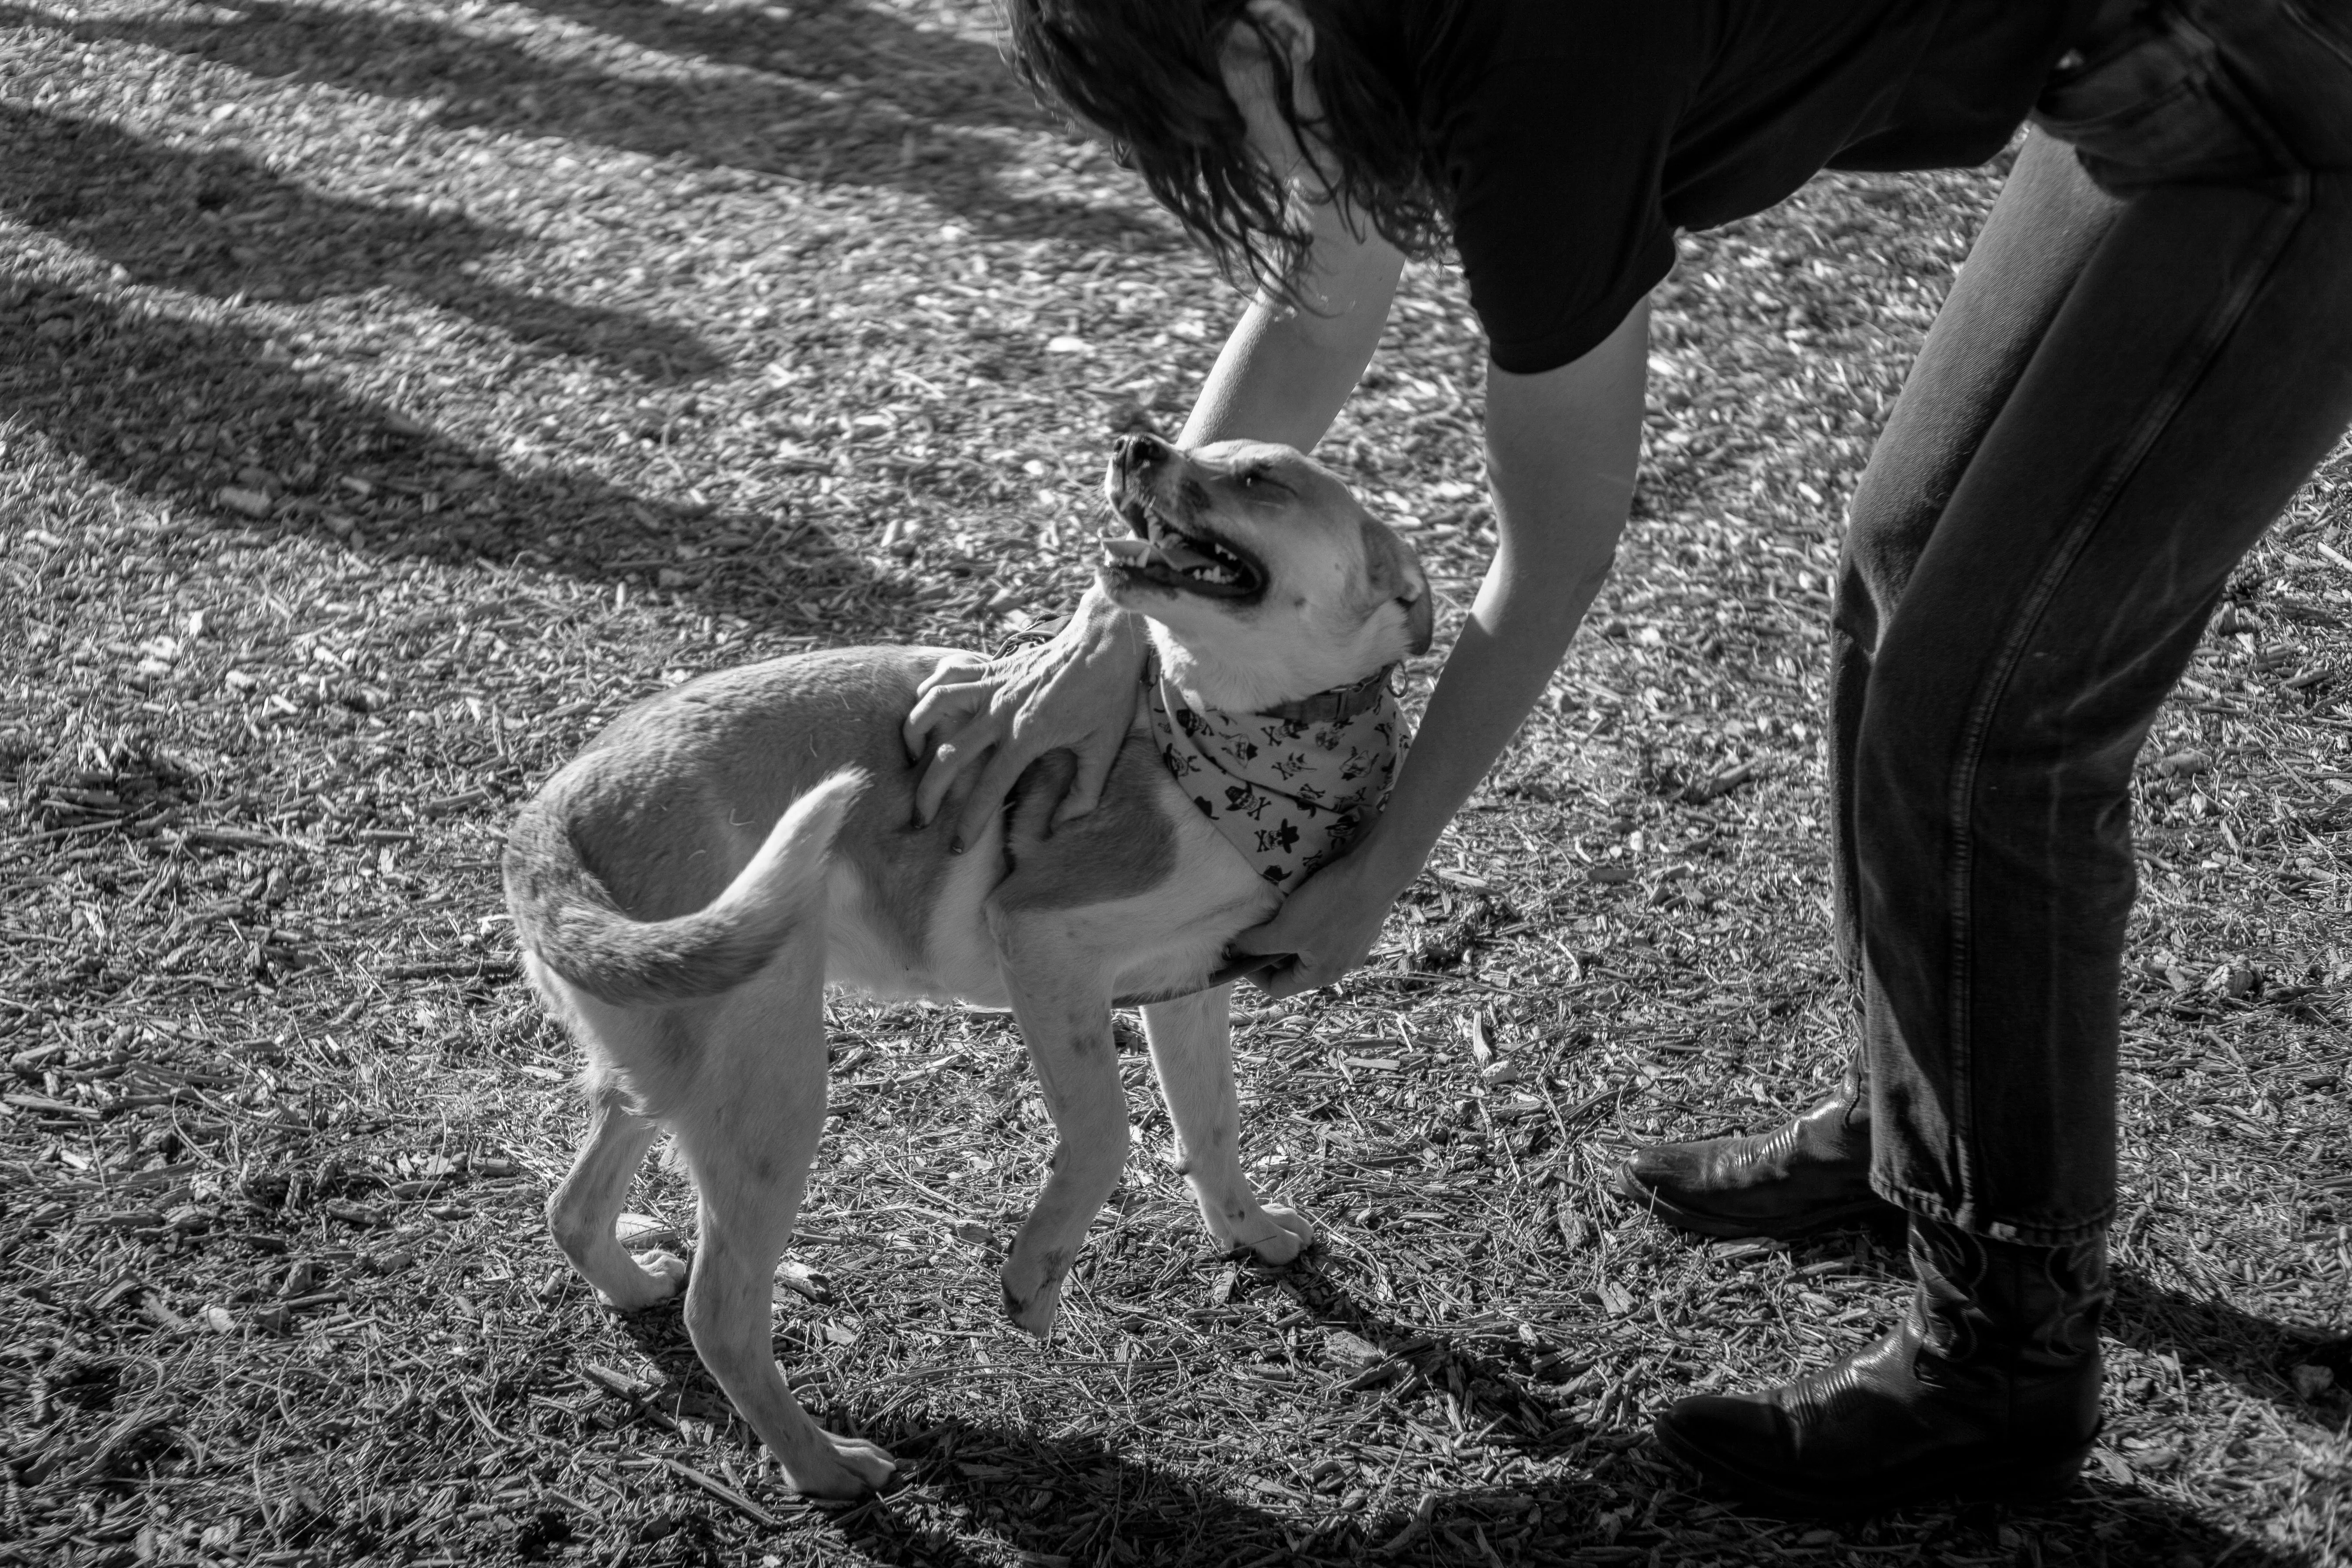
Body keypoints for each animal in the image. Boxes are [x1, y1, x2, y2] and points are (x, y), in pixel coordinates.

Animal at [501, 430, 1430, 1495]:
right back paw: (825, 1466)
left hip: (669, 1072)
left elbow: (1214, 1128)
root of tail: (556, 810)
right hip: (772, 1093)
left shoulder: (1184, 991)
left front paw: (1252, 1236)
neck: (1243, 748)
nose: (1136, 442)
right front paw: (1034, 1278)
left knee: (572, 1209)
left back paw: (631, 1283)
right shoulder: (1045, 945)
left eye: (1256, 477)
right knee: (722, 1310)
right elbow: (1104, 1136)